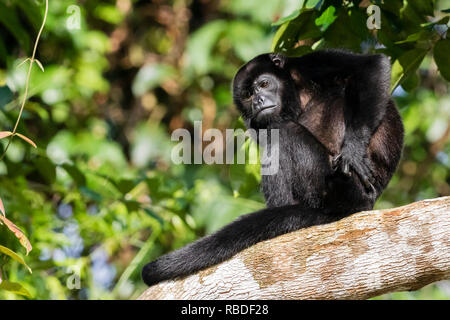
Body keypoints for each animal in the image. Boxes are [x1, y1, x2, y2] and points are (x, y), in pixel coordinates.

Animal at [142, 49, 404, 284]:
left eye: (264, 84)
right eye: (248, 94)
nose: (258, 100)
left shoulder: (309, 63)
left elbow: (370, 66)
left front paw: (354, 151)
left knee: (285, 130)